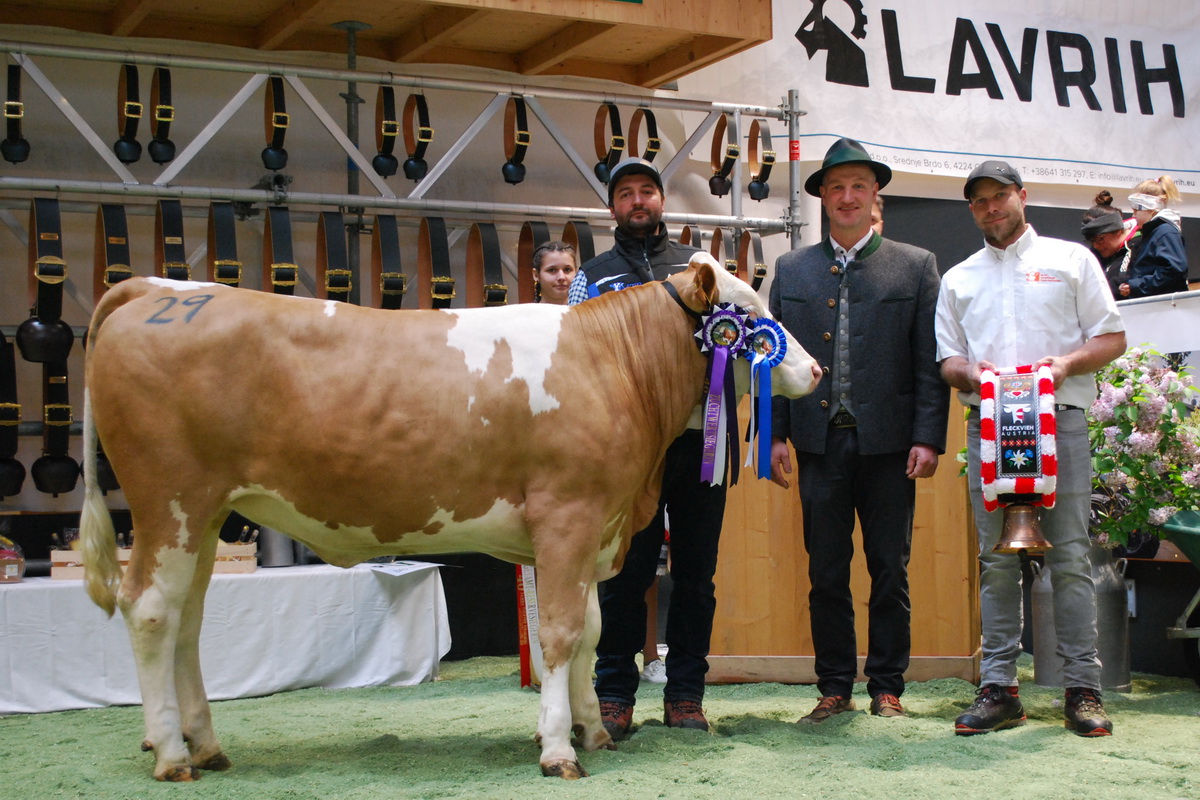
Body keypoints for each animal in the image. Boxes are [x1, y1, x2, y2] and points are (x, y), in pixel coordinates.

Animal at [79, 251, 820, 782]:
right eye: (747, 312)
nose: (812, 370)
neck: (610, 361)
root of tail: (157, 289)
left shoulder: (591, 527)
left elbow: (590, 629)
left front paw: (593, 729)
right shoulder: (568, 513)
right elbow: (559, 633)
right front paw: (559, 748)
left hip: (203, 517)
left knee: (187, 623)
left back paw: (206, 745)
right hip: (170, 499)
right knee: (151, 611)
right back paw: (172, 754)